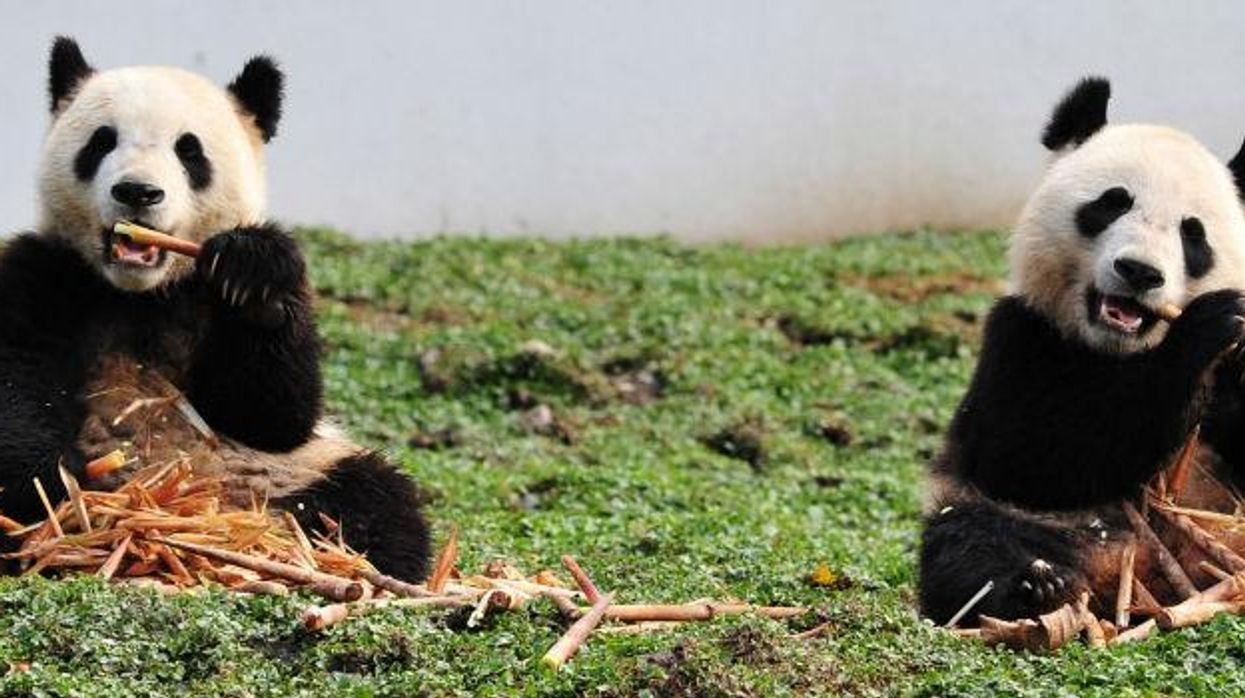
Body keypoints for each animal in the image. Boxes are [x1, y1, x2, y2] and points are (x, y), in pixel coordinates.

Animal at [0, 37, 431, 581]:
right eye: (102, 141)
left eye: (189, 150)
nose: (137, 191)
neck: (141, 294)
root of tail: (214, 506)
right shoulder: (45, 276)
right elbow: (18, 386)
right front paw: (57, 491)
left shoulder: (206, 297)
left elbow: (272, 415)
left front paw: (255, 277)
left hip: (293, 469)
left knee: (379, 499)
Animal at [919, 76, 1245, 624]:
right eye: (1112, 203)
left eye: (1192, 233)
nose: (1139, 272)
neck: (1121, 351)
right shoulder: (1022, 335)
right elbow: (1033, 456)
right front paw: (1202, 331)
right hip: (1034, 520)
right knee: (969, 542)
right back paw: (1034, 586)